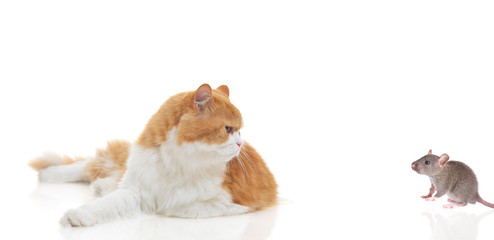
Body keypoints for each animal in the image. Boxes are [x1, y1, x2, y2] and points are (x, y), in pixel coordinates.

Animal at [29, 84, 278, 227]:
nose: (240, 144)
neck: (179, 161)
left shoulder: (235, 203)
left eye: (240, 131)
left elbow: (177, 206)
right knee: (86, 164)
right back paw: (48, 174)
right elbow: (102, 206)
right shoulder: (136, 190)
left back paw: (100, 186)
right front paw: (75, 216)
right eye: (228, 129)